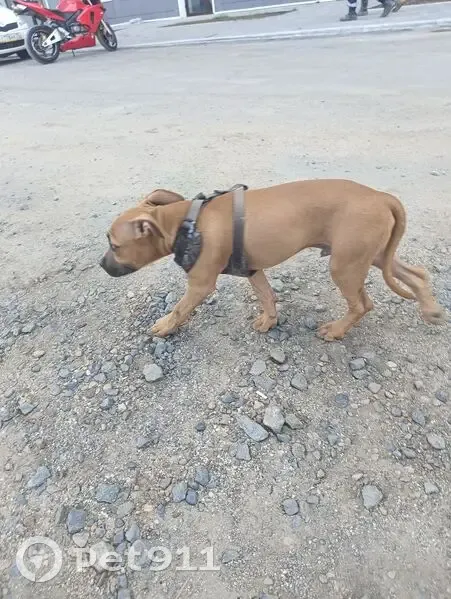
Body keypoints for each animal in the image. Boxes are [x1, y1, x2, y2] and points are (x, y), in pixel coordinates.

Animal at [100, 179, 444, 340]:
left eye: (114, 245)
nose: (102, 265)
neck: (187, 222)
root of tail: (380, 196)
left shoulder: (200, 284)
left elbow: (180, 308)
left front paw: (164, 326)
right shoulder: (253, 269)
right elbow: (267, 296)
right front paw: (269, 321)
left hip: (346, 265)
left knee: (362, 305)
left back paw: (336, 331)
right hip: (372, 255)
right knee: (417, 274)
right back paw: (430, 309)